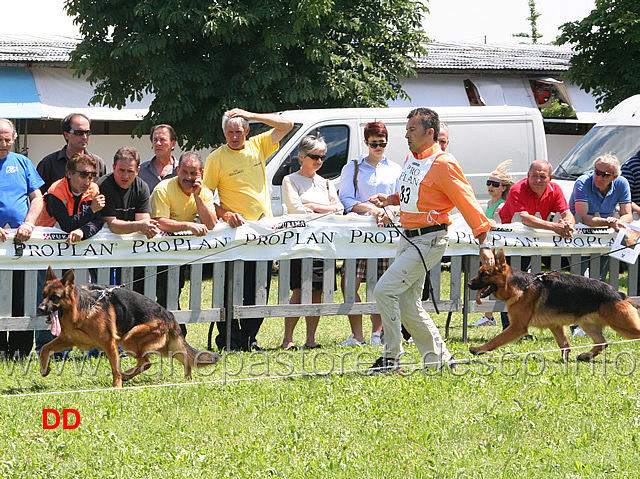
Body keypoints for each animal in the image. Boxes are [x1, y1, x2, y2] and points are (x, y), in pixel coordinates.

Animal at [38, 268, 222, 388]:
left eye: (55, 297)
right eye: (43, 295)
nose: (40, 309)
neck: (83, 307)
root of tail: (169, 315)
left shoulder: (110, 343)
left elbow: (115, 368)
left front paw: (116, 387)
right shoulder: (67, 340)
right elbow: (44, 349)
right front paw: (45, 369)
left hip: (129, 339)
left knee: (146, 362)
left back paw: (126, 375)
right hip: (163, 346)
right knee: (181, 356)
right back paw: (187, 377)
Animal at [468, 251, 640, 360]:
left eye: (484, 274)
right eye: (479, 272)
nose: (469, 284)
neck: (521, 286)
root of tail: (620, 294)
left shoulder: (517, 327)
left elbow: (495, 340)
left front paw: (478, 350)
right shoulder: (555, 325)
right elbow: (564, 345)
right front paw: (565, 361)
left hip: (623, 326)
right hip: (588, 325)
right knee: (602, 343)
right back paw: (585, 356)